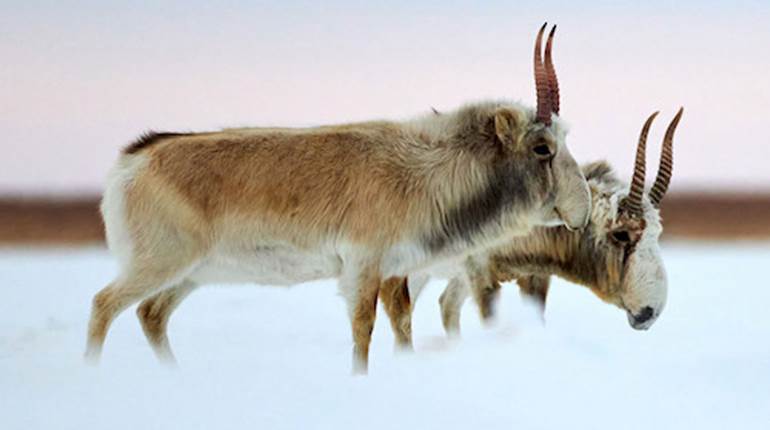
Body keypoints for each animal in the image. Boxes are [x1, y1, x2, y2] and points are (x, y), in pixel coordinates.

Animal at [85, 23, 591, 373]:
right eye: (542, 147)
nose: (582, 210)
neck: (424, 168)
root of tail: (133, 161)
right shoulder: (363, 266)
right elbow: (363, 329)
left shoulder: (395, 271)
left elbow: (402, 324)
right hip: (160, 263)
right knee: (104, 305)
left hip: (190, 274)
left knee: (151, 313)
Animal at [377, 109, 682, 346]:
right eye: (621, 234)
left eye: (656, 234)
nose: (650, 312)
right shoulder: (480, 275)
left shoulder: (532, 276)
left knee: (443, 305)